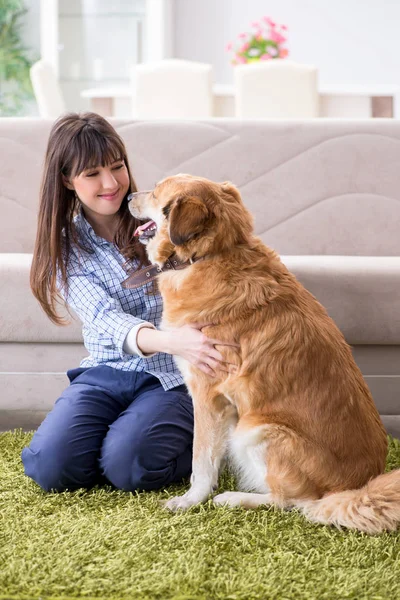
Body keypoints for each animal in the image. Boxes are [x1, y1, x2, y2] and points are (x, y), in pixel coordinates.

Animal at [129, 175, 400, 536]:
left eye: (157, 192)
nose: (127, 196)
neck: (210, 254)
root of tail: (355, 487)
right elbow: (212, 454)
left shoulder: (207, 393)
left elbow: (201, 459)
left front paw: (190, 500)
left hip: (258, 430)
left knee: (294, 503)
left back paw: (234, 498)